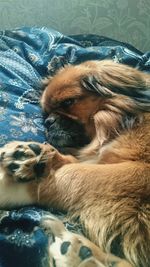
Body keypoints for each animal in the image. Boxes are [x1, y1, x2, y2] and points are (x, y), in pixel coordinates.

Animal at [0, 60, 150, 267]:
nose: (48, 122)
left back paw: (78, 251)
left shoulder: (141, 171)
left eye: (68, 102)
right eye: (46, 113)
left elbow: (72, 174)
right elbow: (73, 162)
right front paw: (37, 156)